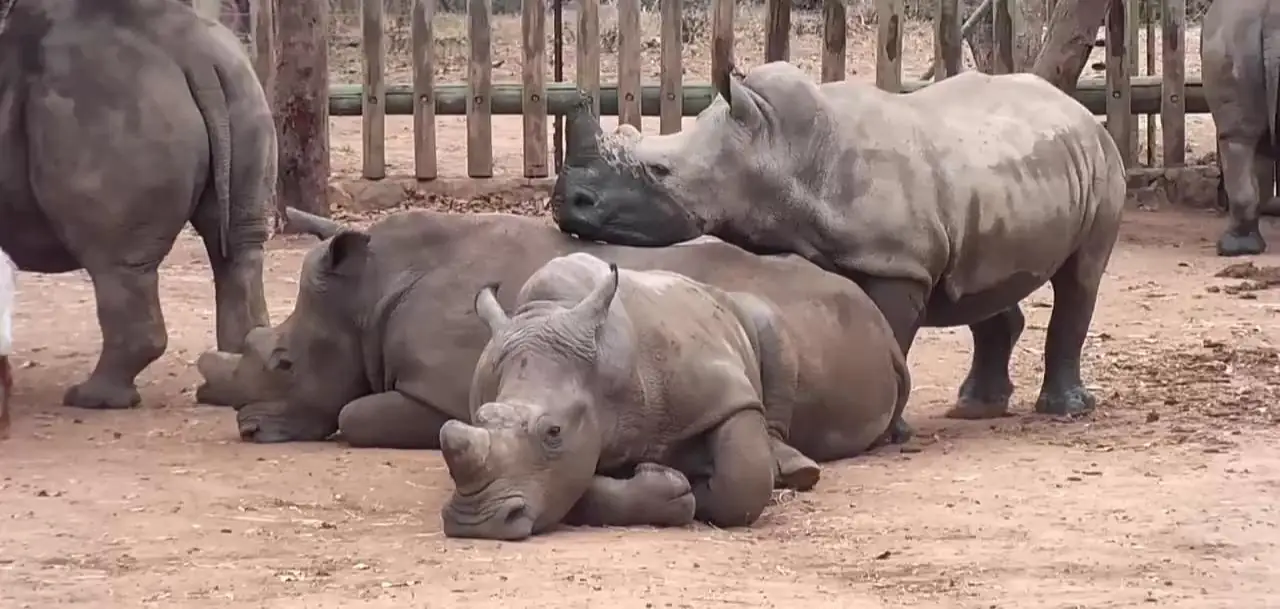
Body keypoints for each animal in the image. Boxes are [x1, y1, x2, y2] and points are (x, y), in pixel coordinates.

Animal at [0, 0, 276, 408]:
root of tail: (193, 51)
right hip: (242, 87)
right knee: (239, 247)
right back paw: (229, 386)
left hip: (109, 105)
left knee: (114, 263)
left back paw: (91, 398)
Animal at [209, 209, 907, 481]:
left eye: (285, 362)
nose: (247, 430)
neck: (367, 295)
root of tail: (881, 325)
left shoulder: (437, 393)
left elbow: (354, 413)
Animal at [438, 253, 905, 540]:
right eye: (477, 419)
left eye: (553, 431)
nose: (475, 522)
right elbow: (574, 485)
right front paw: (673, 486)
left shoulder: (723, 392)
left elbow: (744, 478)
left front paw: (700, 485)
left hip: (751, 312)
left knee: (769, 328)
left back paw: (795, 471)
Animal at [552, 61, 1126, 439]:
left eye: (660, 170)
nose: (565, 201)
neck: (775, 144)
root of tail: (1076, 107)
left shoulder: (896, 264)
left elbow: (890, 331)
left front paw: (890, 431)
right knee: (979, 279)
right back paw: (974, 410)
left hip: (1102, 160)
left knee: (1081, 276)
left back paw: (1064, 411)